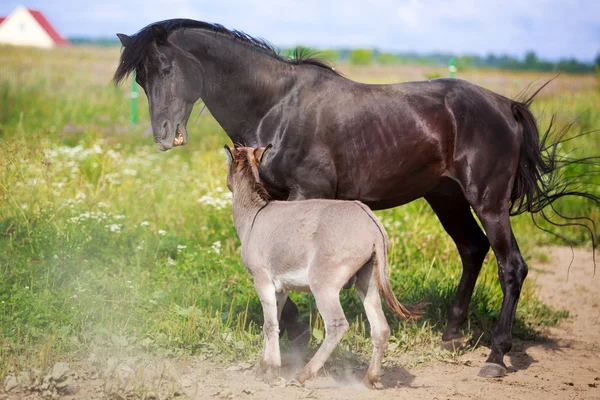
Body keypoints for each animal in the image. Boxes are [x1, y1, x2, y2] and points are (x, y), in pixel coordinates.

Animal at [112, 20, 596, 380]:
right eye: (141, 79)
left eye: (166, 68)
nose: (163, 136)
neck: (276, 106)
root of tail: (504, 105)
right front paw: (295, 338)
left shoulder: (306, 194)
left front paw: (298, 343)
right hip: (447, 198)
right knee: (472, 250)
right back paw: (452, 335)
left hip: (488, 201)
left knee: (511, 265)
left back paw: (495, 357)